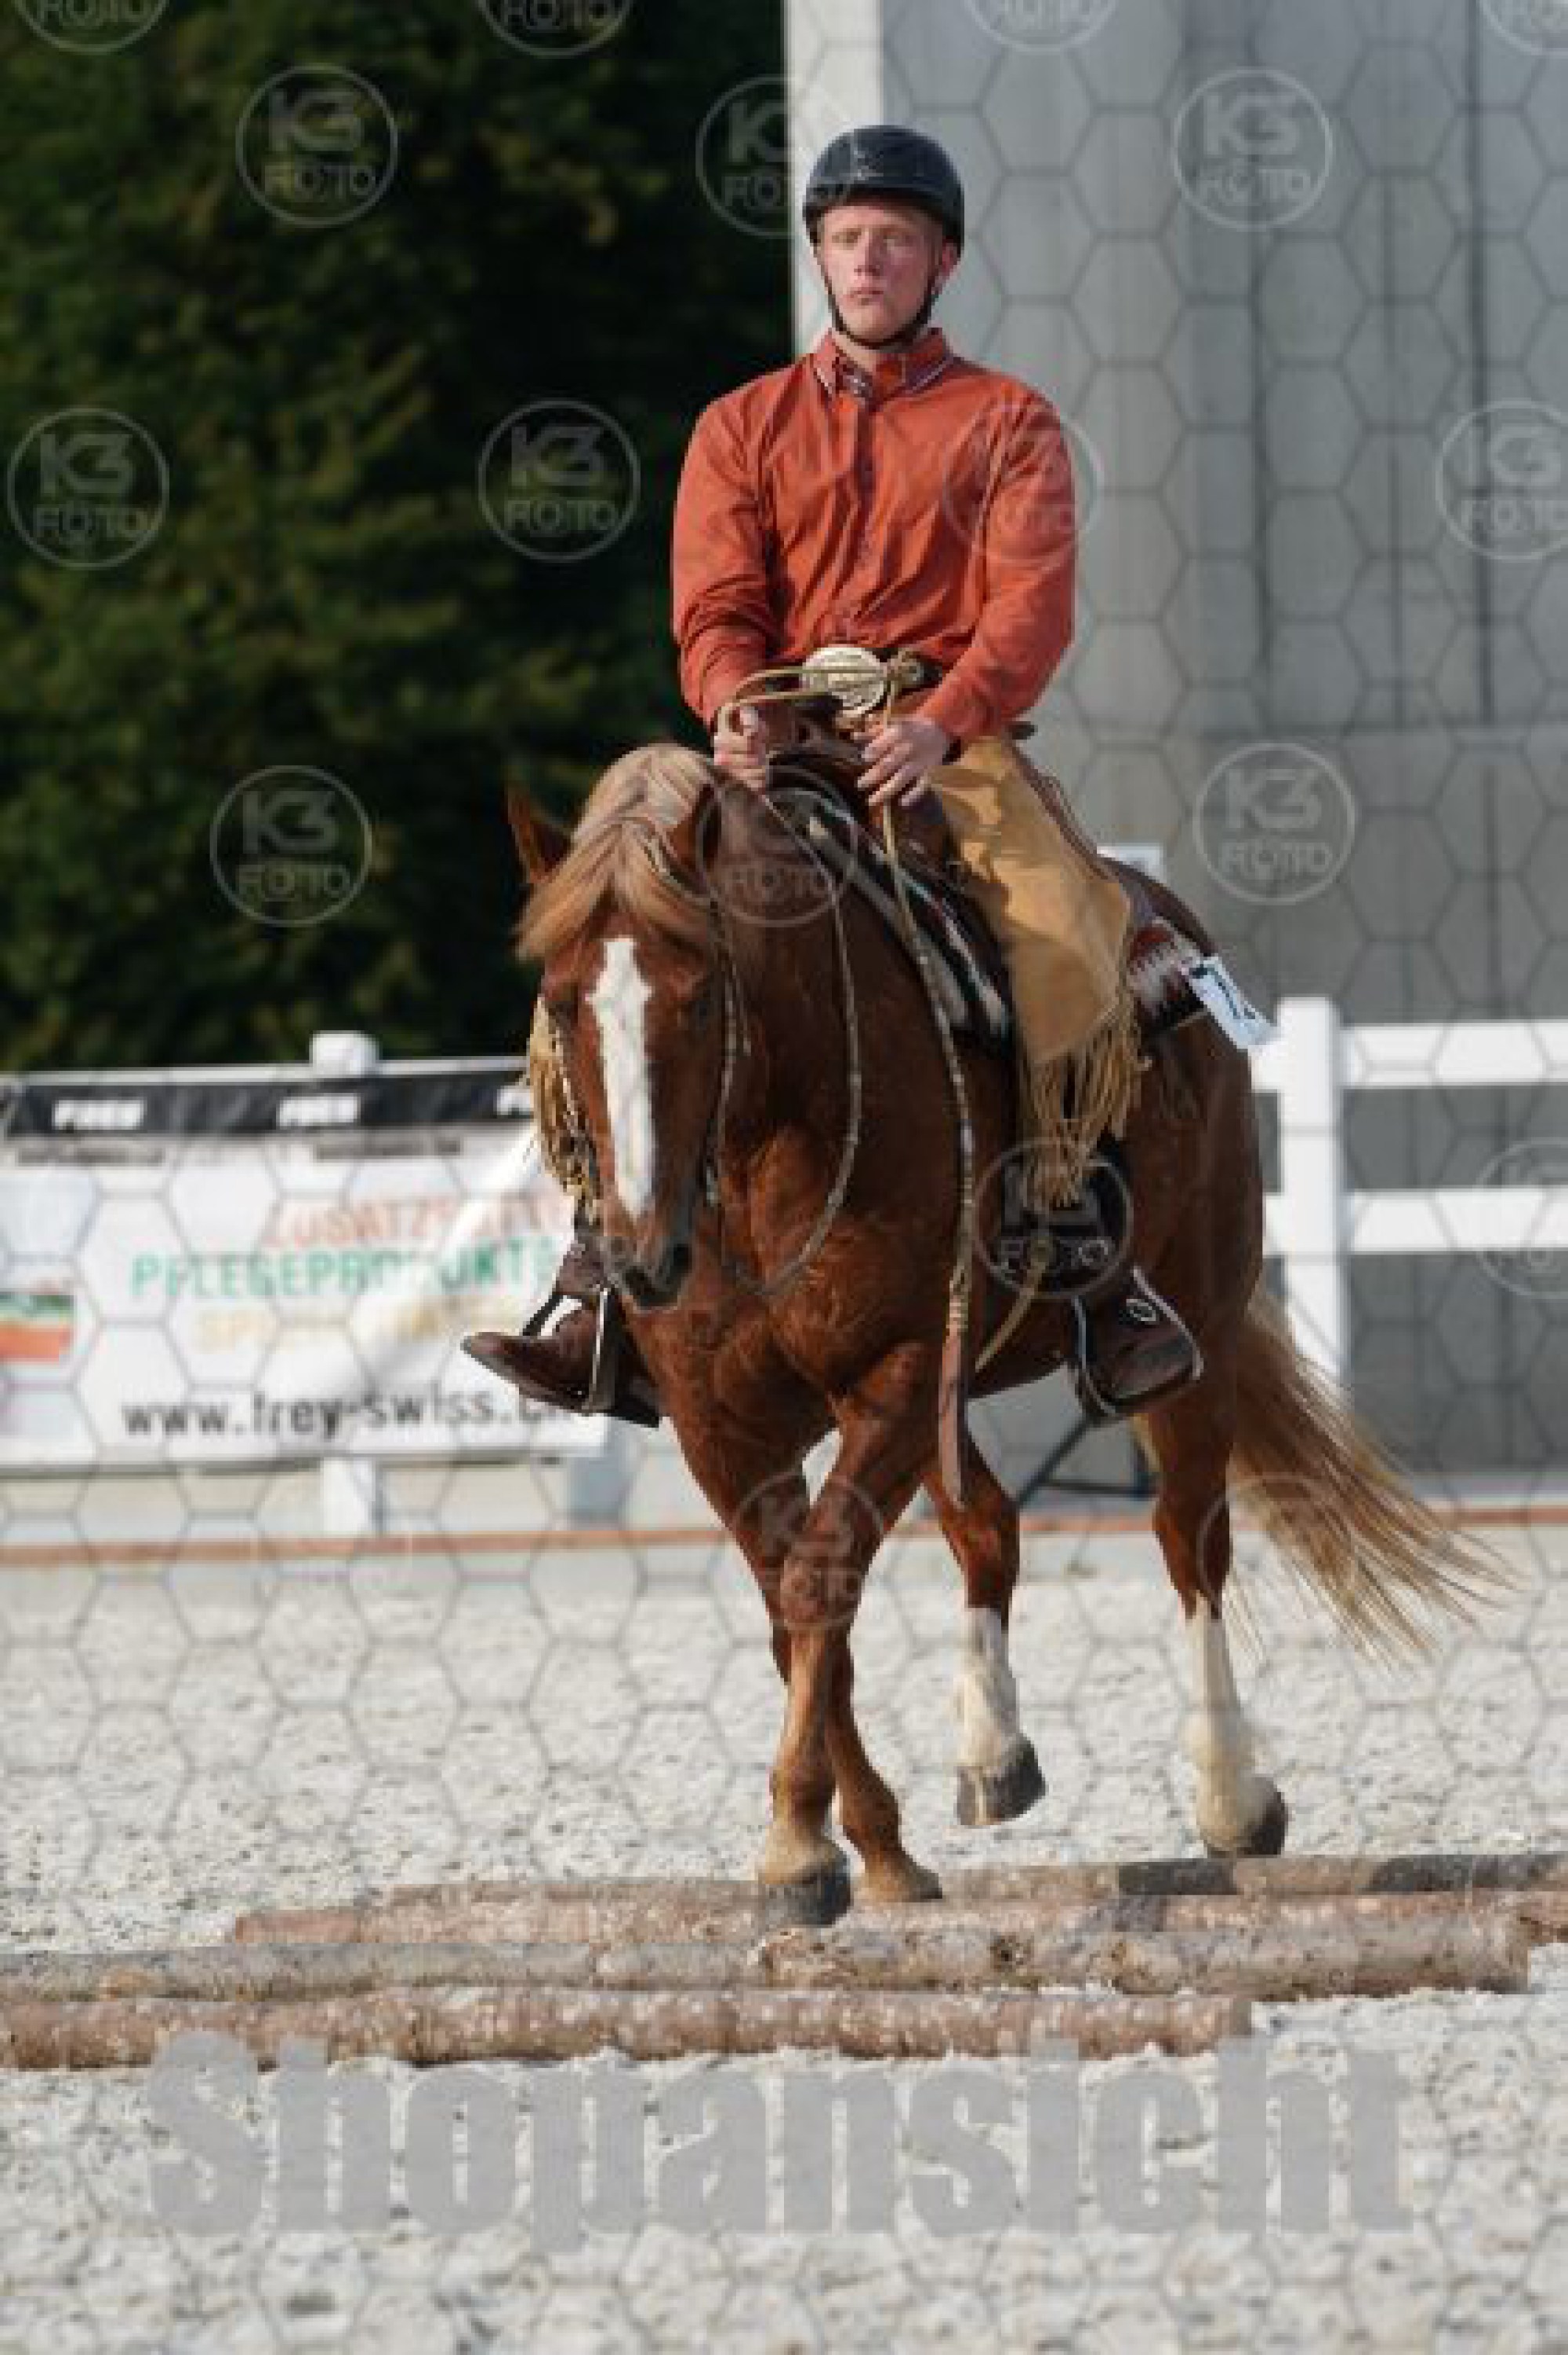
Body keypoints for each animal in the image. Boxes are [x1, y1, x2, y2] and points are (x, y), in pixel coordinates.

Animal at [510, 738, 1501, 1924]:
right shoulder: (723, 1424)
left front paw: (797, 1841)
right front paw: (872, 1843)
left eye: (703, 999)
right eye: (562, 1001)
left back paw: (1230, 1793)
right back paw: (991, 1749)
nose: (638, 1256)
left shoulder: (895, 1377)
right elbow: (793, 1611)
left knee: (1188, 1538)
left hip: (1195, 1329)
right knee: (989, 1528)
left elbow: (818, 1581)